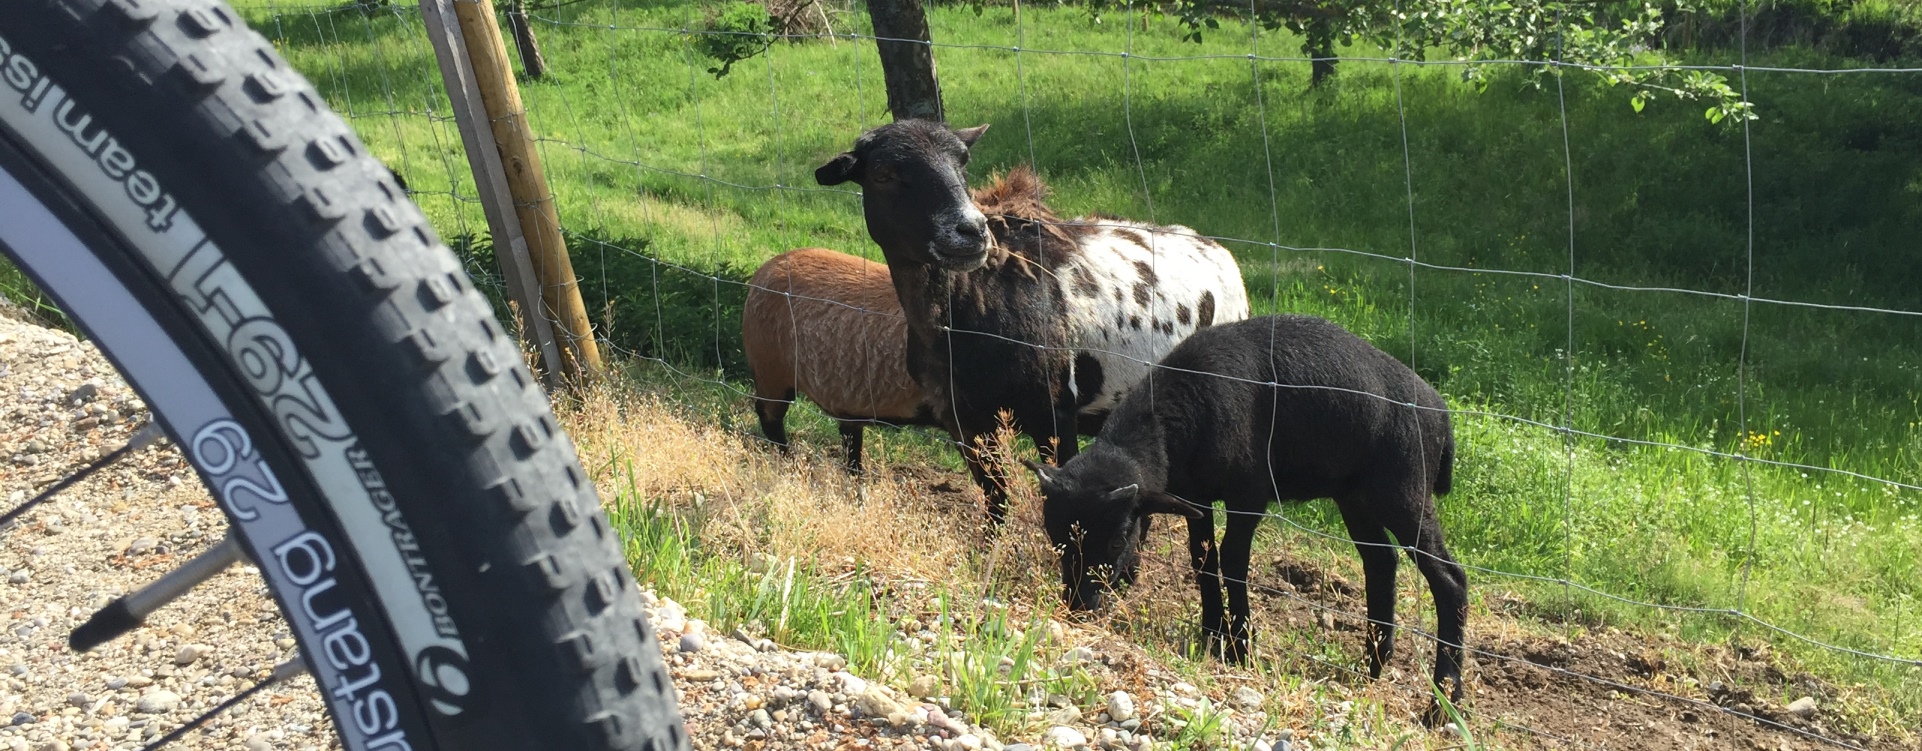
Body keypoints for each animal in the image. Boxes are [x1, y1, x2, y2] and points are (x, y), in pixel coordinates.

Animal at [807, 120, 1245, 526]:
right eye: (882, 174)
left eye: (963, 164)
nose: (971, 232)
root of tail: (1215, 248)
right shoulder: (964, 422)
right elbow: (996, 503)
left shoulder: (1056, 414)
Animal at [1030, 314, 1460, 726]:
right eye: (1054, 537)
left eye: (1118, 540)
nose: (1078, 608)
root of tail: (1439, 412)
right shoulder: (1195, 495)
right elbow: (1203, 559)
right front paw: (1212, 635)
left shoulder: (1249, 496)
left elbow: (1233, 560)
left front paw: (1239, 647)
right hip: (1355, 496)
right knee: (1381, 561)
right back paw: (1374, 663)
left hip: (1404, 491)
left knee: (1448, 579)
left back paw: (1444, 701)